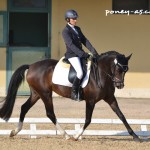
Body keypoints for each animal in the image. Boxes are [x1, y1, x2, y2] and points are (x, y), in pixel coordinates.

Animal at [0, 51, 141, 141]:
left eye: (126, 70)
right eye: (118, 69)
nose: (120, 85)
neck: (101, 74)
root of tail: (31, 66)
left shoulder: (110, 99)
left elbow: (122, 116)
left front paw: (135, 136)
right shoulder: (90, 101)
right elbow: (88, 120)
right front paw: (76, 136)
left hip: (36, 94)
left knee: (24, 108)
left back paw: (14, 132)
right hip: (45, 94)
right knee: (50, 113)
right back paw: (66, 135)